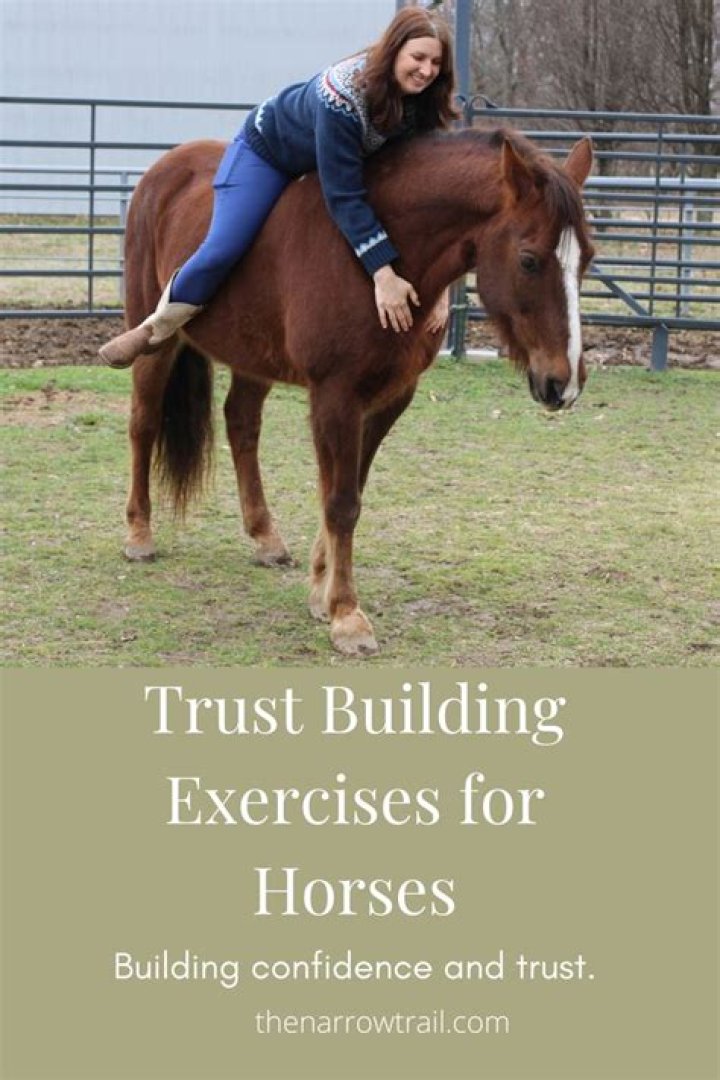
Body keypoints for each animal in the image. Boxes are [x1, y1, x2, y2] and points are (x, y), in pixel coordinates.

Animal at [120, 126, 594, 656]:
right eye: (529, 260)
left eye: (588, 259)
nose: (564, 383)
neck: (378, 257)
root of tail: (163, 171)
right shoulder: (335, 396)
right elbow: (341, 501)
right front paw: (347, 614)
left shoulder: (389, 398)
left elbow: (349, 490)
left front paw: (321, 589)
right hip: (156, 339)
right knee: (143, 422)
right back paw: (139, 533)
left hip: (253, 357)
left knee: (241, 423)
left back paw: (266, 538)